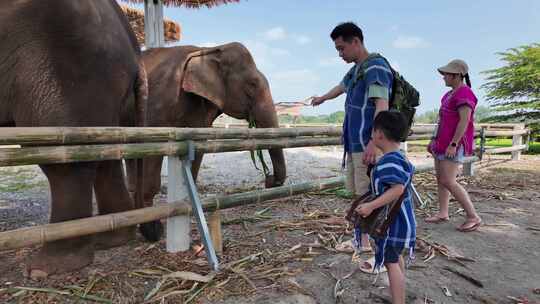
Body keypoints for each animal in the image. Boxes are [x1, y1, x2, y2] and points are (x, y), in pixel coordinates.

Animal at [0, 0, 148, 276]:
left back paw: (46, 267)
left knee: (66, 160)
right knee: (104, 152)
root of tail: (135, 52)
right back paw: (111, 239)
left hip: (65, 65)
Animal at [126, 42, 286, 226]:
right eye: (252, 84)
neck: (208, 50)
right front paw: (152, 226)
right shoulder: (158, 99)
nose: (269, 179)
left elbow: (197, 147)